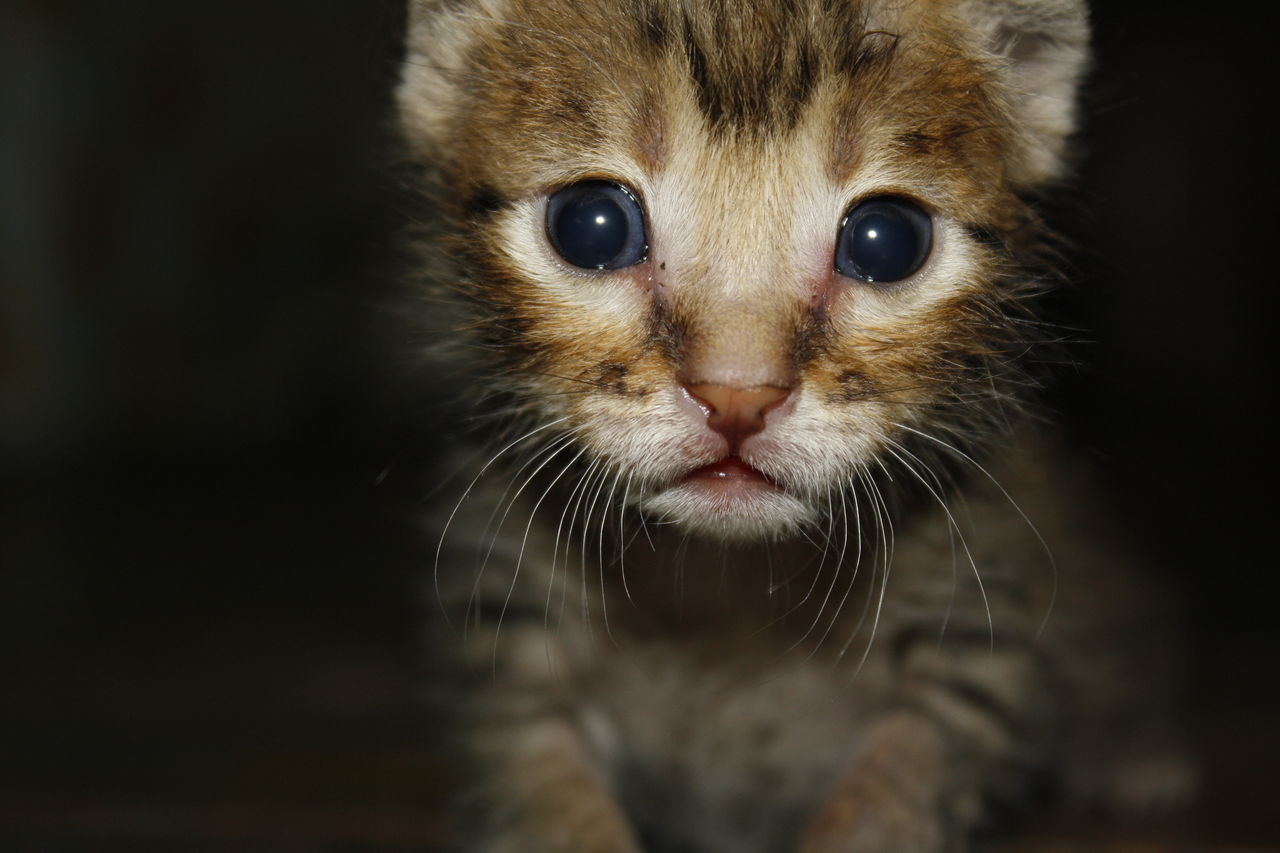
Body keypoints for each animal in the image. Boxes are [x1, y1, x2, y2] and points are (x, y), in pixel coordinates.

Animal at [396, 3, 1187, 845]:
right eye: (591, 226)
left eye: (886, 241)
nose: (737, 395)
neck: (726, 600)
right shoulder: (510, 644)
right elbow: (544, 793)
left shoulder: (978, 646)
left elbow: (888, 799)